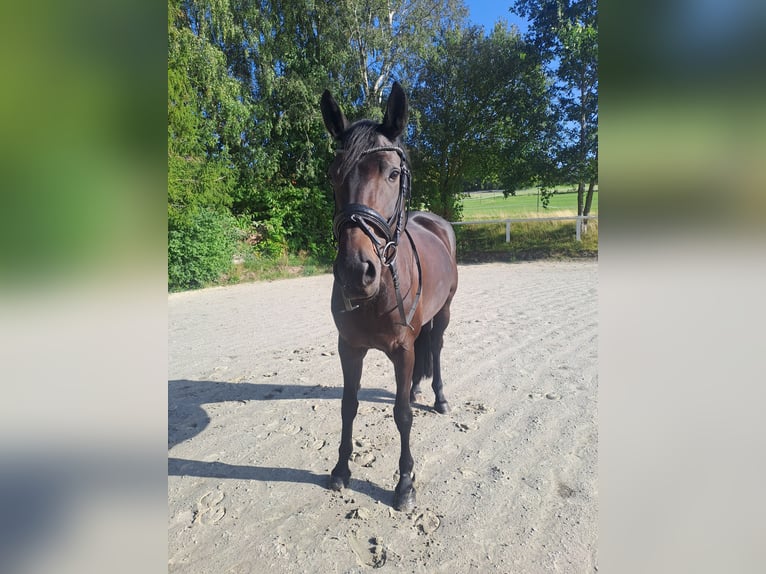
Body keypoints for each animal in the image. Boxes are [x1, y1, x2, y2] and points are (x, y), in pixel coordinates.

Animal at [320, 82, 459, 511]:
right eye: (334, 175)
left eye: (394, 174)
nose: (354, 271)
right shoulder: (349, 347)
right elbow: (348, 405)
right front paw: (341, 469)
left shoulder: (402, 348)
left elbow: (401, 415)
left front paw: (405, 483)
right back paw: (416, 388)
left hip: (443, 314)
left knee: (437, 349)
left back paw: (438, 398)